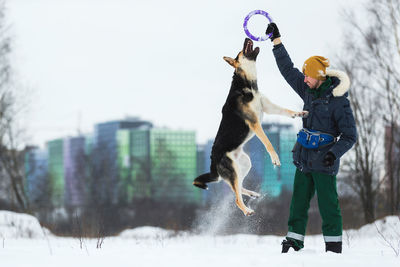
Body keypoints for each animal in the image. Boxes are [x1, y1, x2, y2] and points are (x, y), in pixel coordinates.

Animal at [192, 37, 308, 217]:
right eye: (240, 51)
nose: (247, 38)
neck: (248, 83)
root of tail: (213, 163)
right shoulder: (255, 123)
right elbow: (268, 142)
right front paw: (275, 158)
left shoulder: (268, 107)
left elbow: (286, 111)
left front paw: (299, 113)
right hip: (234, 169)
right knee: (236, 197)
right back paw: (246, 210)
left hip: (244, 164)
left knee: (236, 188)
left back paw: (252, 193)